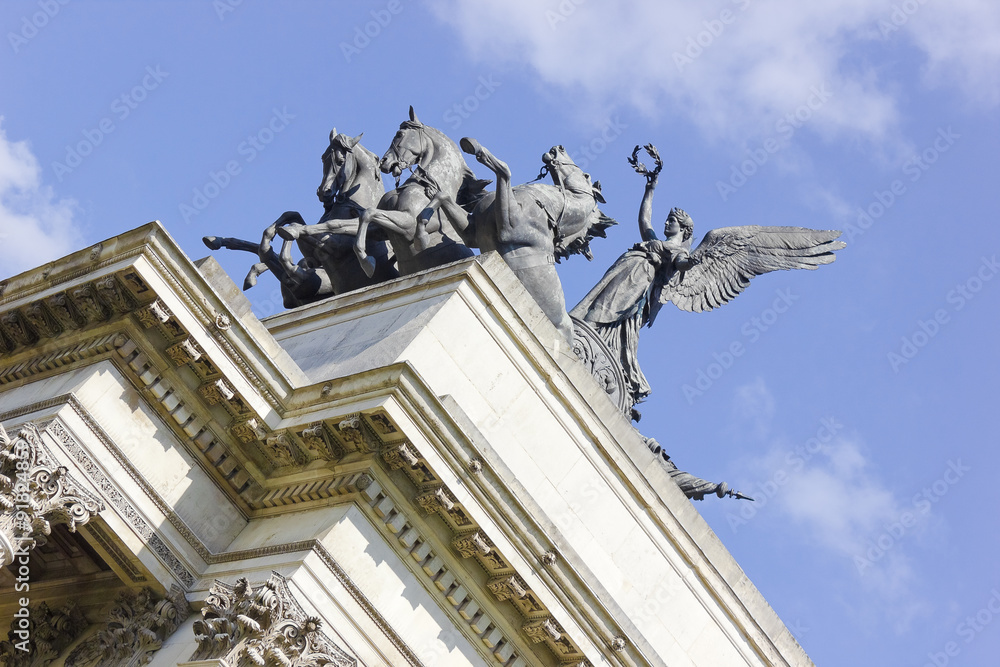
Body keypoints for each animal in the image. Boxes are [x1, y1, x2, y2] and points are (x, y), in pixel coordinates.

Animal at [356, 106, 488, 276]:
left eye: (399, 134)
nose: (383, 163)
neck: (423, 184)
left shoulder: (409, 222)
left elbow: (369, 213)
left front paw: (366, 262)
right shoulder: (383, 231)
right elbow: (363, 219)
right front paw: (365, 258)